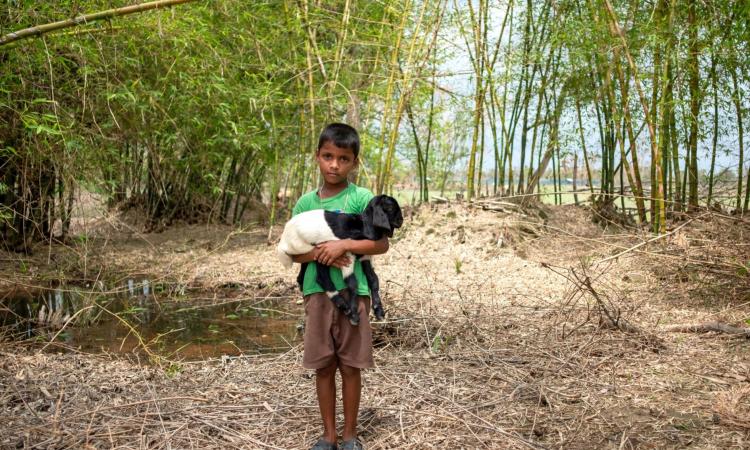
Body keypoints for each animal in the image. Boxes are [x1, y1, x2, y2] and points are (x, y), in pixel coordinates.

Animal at [278, 195, 406, 326]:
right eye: (390, 207)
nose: (401, 220)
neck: (362, 226)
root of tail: (283, 240)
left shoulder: (365, 255)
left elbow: (373, 280)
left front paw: (379, 310)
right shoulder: (347, 255)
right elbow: (352, 283)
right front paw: (354, 316)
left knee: (310, 272)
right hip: (312, 249)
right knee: (321, 276)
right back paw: (343, 304)